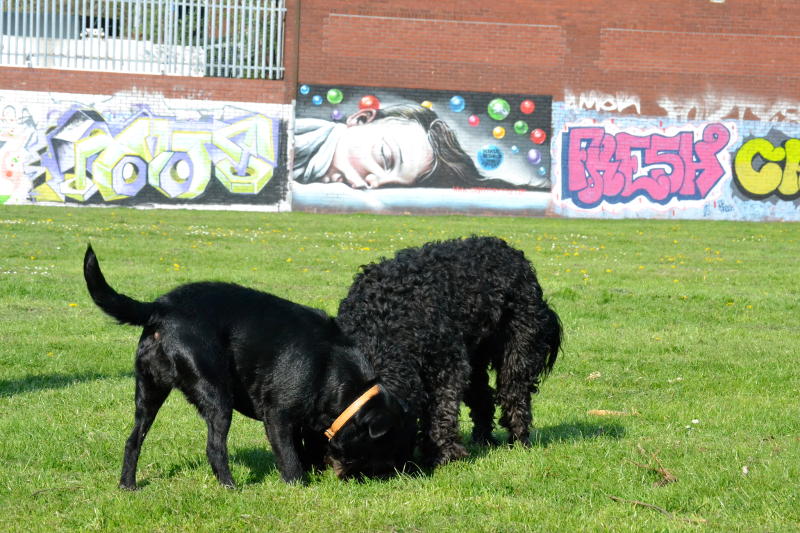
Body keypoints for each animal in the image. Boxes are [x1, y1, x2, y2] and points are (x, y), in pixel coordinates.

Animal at [336, 235, 564, 468]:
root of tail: (516, 256)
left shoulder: (448, 366)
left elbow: (442, 412)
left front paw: (443, 455)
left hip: (518, 349)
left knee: (514, 394)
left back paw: (519, 440)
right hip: (476, 358)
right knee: (484, 398)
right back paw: (484, 440)